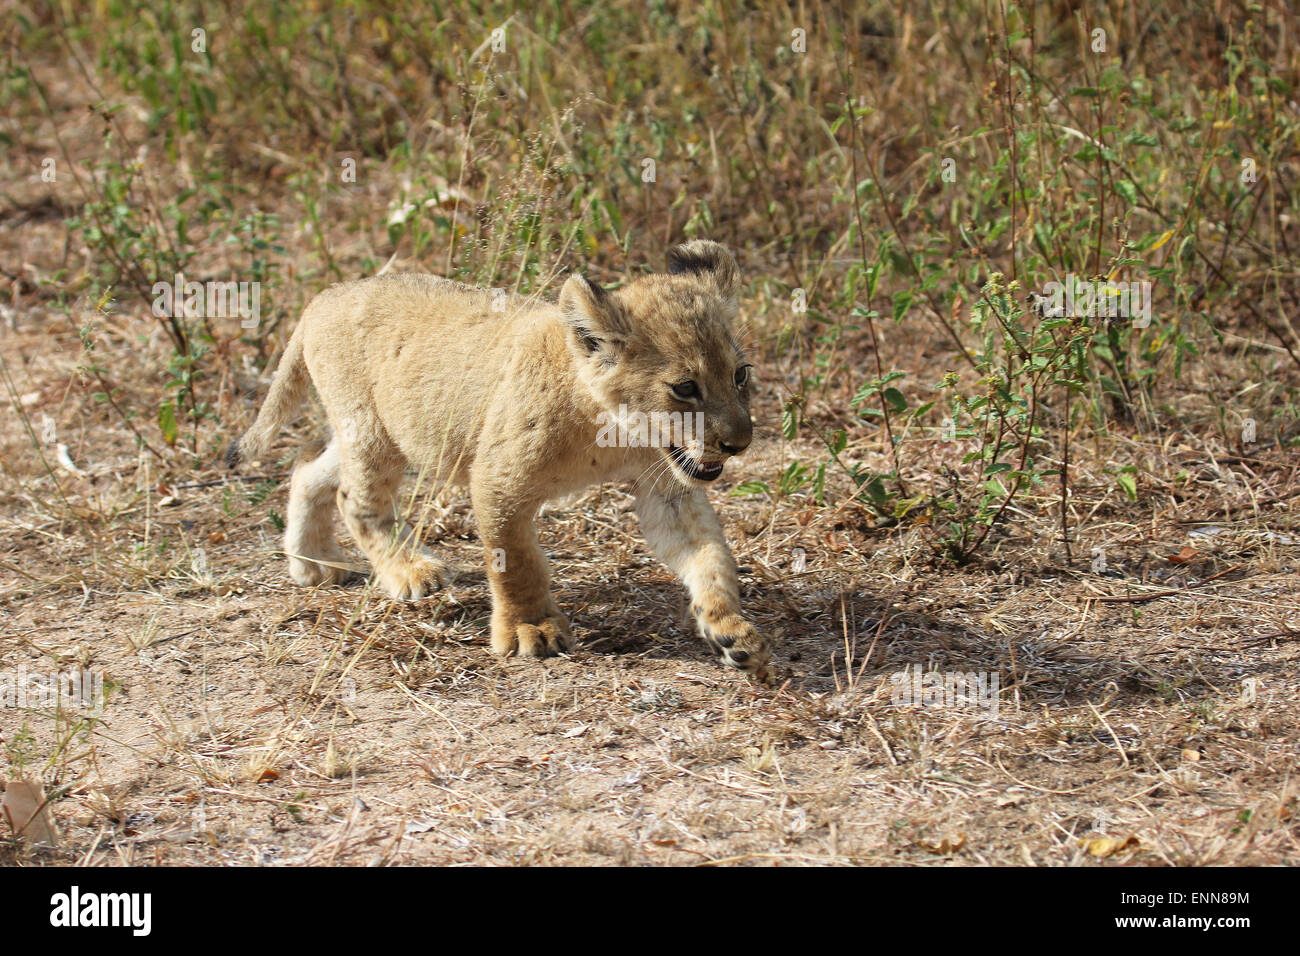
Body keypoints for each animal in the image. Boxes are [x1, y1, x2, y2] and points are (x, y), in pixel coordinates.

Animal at [229, 240, 769, 679]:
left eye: (740, 375)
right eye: (685, 388)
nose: (740, 442)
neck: (610, 432)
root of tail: (324, 296)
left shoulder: (668, 485)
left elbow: (709, 554)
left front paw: (730, 630)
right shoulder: (497, 479)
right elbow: (517, 563)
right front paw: (532, 630)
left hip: (371, 431)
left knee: (308, 470)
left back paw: (312, 562)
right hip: (369, 430)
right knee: (354, 499)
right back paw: (408, 570)